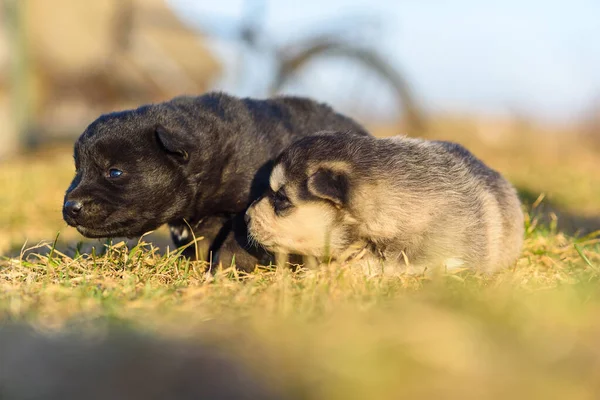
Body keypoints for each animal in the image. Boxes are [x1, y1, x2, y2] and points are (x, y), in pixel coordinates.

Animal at [63, 92, 368, 270]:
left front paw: (223, 272)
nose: (70, 207)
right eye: (78, 169)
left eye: (114, 172)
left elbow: (234, 243)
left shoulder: (247, 210)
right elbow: (198, 244)